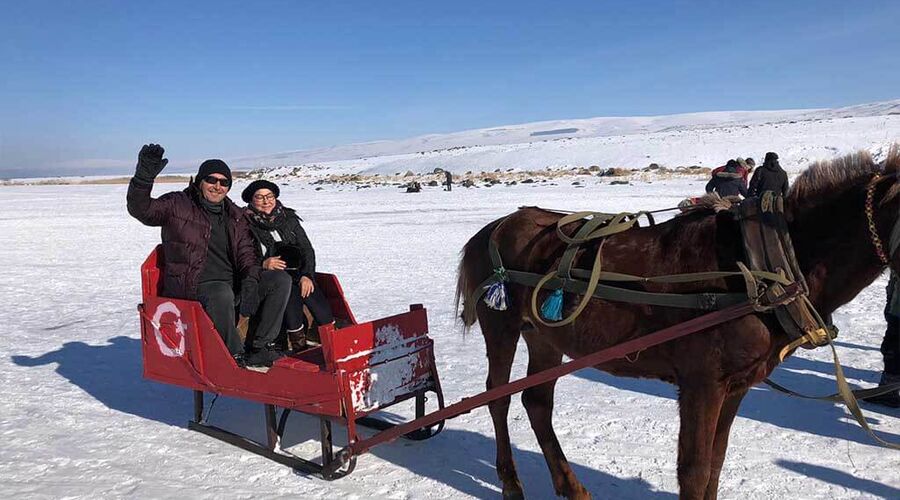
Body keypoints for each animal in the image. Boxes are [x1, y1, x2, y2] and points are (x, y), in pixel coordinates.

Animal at [458, 149, 900, 500]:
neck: (762, 266)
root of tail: (492, 228)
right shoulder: (701, 382)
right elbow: (694, 470)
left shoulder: (736, 384)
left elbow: (716, 464)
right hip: (502, 328)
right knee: (497, 398)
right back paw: (511, 484)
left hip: (546, 336)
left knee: (537, 402)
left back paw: (572, 487)